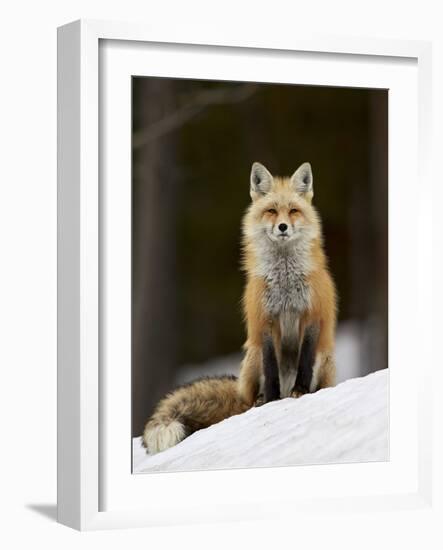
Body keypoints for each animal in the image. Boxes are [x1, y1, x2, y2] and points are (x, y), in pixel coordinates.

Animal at [142, 162, 336, 454]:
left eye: (293, 211)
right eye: (271, 211)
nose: (282, 227)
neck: (285, 279)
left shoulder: (311, 316)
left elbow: (304, 360)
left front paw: (300, 391)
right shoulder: (264, 321)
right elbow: (271, 369)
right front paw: (272, 401)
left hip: (324, 359)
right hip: (251, 356)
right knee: (251, 394)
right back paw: (259, 401)